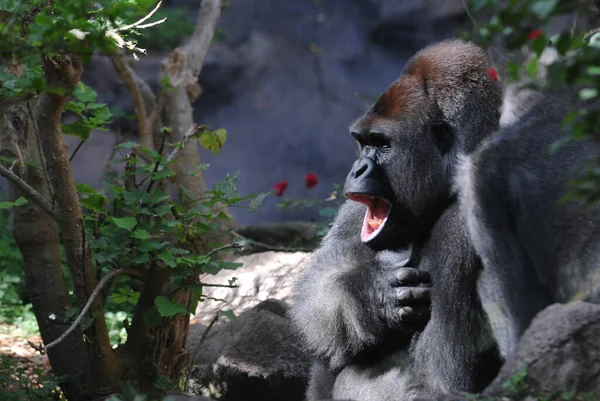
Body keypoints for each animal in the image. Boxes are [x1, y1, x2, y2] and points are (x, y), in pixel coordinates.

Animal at [290, 39, 506, 400]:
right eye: (363, 143)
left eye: (383, 144)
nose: (357, 169)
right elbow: (321, 283)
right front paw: (370, 297)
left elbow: (441, 378)